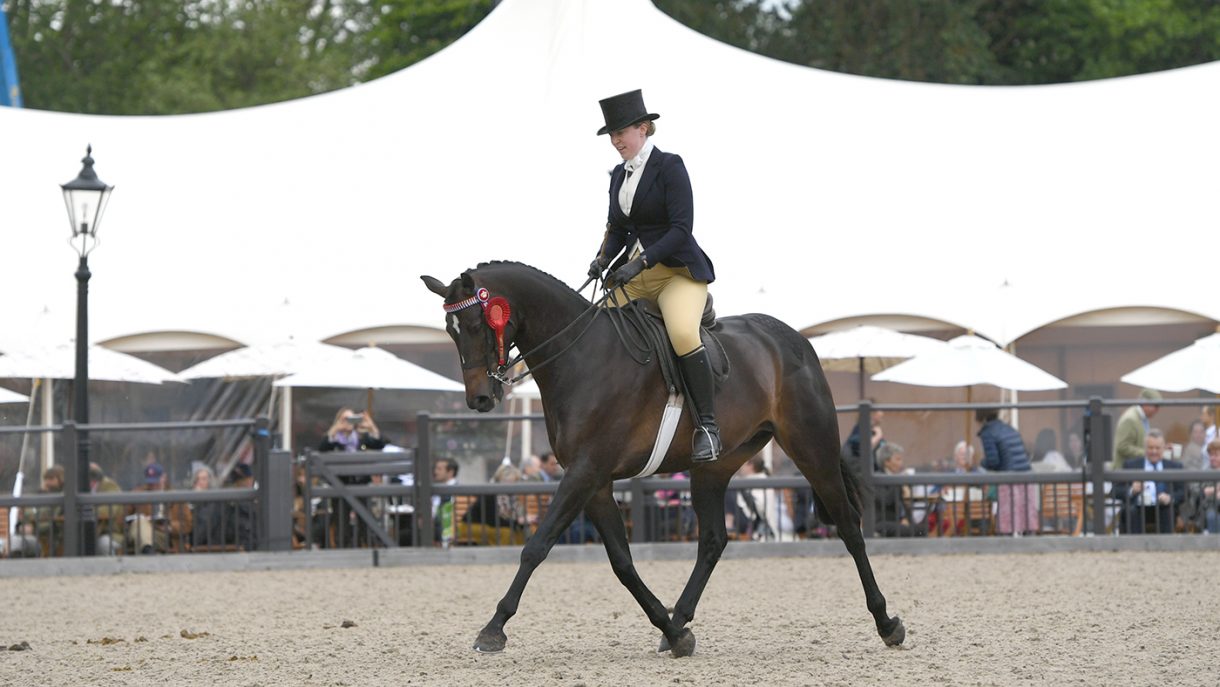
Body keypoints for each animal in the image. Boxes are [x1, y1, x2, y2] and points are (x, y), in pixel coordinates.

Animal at [421, 261, 905, 657]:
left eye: (477, 323)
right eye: (450, 329)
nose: (480, 399)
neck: (580, 355)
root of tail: (792, 338)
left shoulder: (585, 471)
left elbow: (536, 546)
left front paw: (493, 629)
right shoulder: (594, 481)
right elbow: (622, 562)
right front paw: (673, 633)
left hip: (812, 447)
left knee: (848, 526)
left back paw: (887, 622)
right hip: (714, 467)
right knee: (713, 540)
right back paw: (680, 618)